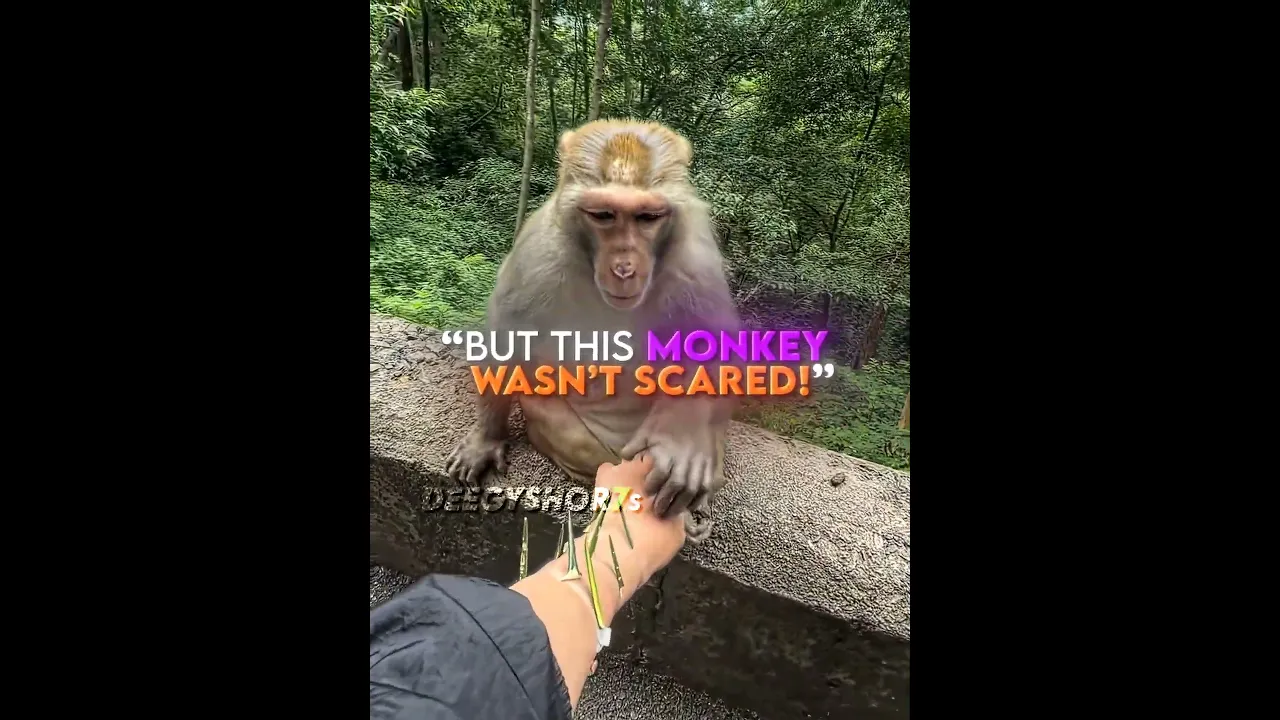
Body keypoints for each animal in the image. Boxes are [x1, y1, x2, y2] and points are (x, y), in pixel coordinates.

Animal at [444, 119, 740, 543]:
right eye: (603, 215)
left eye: (647, 217)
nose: (624, 267)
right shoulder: (539, 252)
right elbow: (508, 334)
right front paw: (486, 440)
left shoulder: (695, 256)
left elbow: (718, 345)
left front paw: (681, 442)